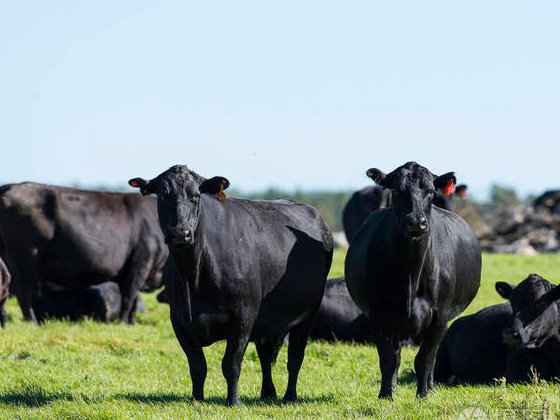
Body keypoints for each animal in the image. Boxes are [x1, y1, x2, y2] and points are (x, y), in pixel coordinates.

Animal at [0, 182, 167, 324]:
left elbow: (133, 300)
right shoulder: (139, 264)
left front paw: (132, 322)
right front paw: (124, 322)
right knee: (24, 290)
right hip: (26, 256)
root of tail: (13, 186)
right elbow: (129, 297)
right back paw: (32, 321)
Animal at [129, 166, 332, 406]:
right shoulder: (178, 320)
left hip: (307, 314)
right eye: (162, 195)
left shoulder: (244, 315)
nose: (180, 233)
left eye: (195, 195)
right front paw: (197, 398)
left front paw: (233, 401)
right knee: (265, 357)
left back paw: (289, 396)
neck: (194, 278)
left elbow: (231, 364)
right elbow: (197, 366)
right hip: (268, 321)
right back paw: (268, 393)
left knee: (295, 357)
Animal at [346, 162, 482, 400]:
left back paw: (431, 387)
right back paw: (394, 387)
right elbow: (388, 359)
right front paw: (386, 395)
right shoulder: (378, 316)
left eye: (430, 191)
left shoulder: (439, 317)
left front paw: (423, 395)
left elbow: (424, 359)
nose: (416, 222)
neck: (410, 275)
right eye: (397, 190)